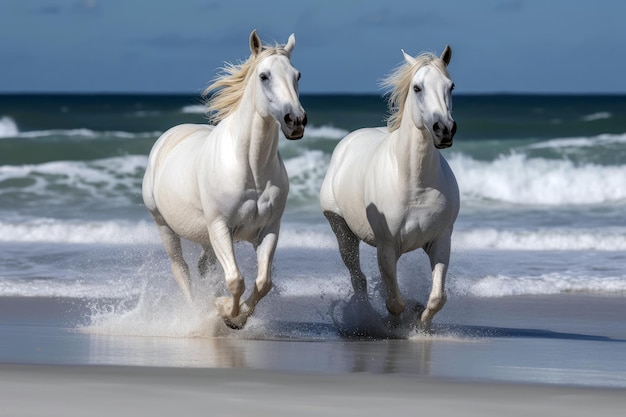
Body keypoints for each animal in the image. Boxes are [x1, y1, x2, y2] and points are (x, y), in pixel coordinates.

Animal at [142, 30, 308, 328]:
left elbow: (263, 282)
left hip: (204, 236)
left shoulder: (269, 229)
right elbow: (235, 280)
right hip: (165, 226)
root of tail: (169, 136)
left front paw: (237, 319)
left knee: (203, 268)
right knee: (181, 270)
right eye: (264, 76)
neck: (250, 170)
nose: (296, 121)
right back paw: (196, 313)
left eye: (297, 75)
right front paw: (225, 312)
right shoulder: (220, 226)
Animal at [320, 45, 456, 330]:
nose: (445, 130)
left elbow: (437, 297)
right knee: (358, 278)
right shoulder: (386, 246)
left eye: (450, 86)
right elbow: (394, 303)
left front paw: (420, 322)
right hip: (341, 230)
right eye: (417, 88)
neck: (415, 185)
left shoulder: (441, 240)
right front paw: (397, 324)